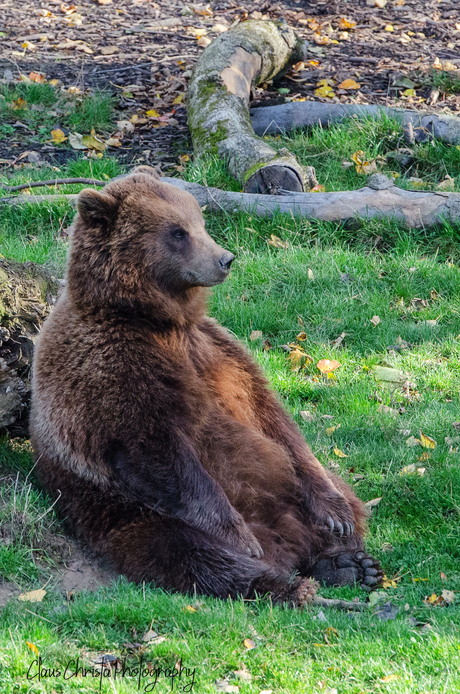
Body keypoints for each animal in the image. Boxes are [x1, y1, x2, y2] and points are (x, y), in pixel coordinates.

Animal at [28, 166, 380, 608]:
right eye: (177, 232)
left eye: (200, 220)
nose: (225, 258)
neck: (151, 317)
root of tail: (285, 539)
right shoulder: (111, 371)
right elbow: (160, 451)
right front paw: (239, 536)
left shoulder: (218, 350)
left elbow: (277, 421)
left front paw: (336, 516)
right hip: (121, 511)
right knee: (189, 552)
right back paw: (288, 583)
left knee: (342, 497)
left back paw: (348, 562)